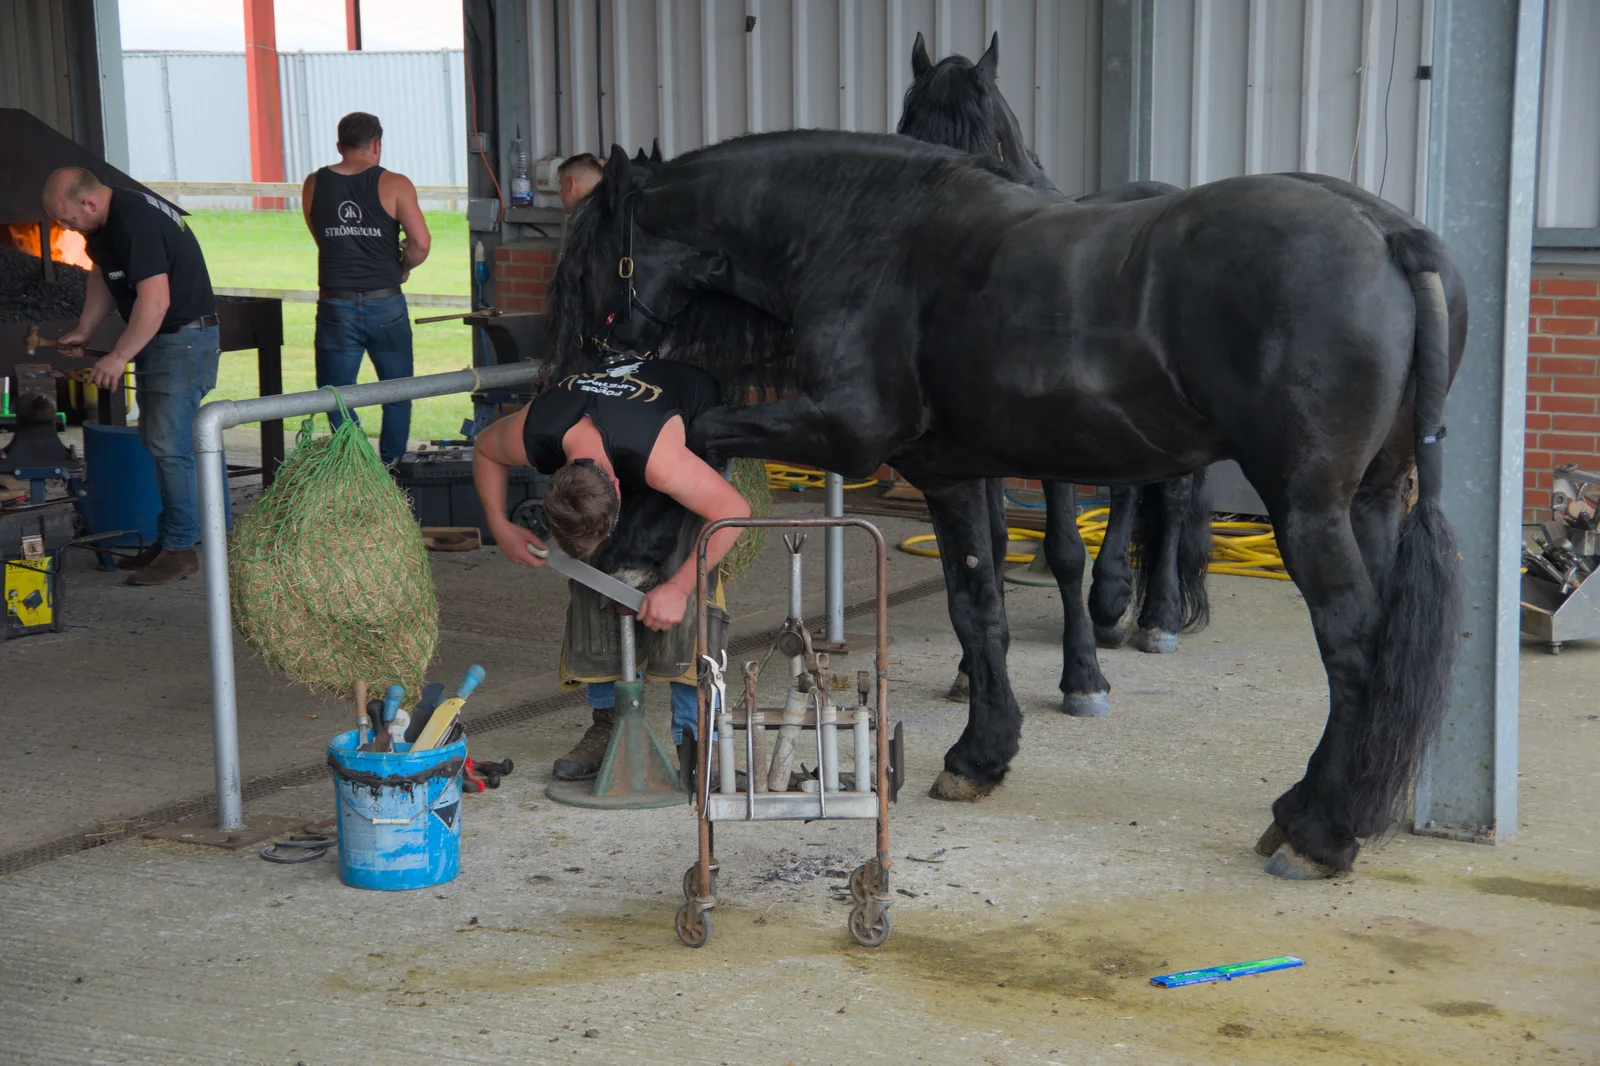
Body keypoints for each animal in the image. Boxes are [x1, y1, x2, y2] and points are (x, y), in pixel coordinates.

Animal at [547, 130, 1465, 877]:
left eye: (587, 260)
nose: (588, 373)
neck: (867, 236)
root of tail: (1391, 236)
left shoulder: (844, 433)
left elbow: (700, 428)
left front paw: (644, 537)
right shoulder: (952, 475)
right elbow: (975, 606)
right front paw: (981, 756)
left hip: (1307, 508)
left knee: (1353, 652)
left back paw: (1323, 832)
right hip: (1371, 502)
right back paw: (1308, 809)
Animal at [896, 33, 1203, 717]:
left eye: (985, 152)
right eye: (905, 134)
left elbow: (1063, 550)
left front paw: (1083, 679)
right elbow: (986, 548)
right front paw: (973, 669)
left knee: (1170, 498)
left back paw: (1157, 620)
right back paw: (1113, 605)